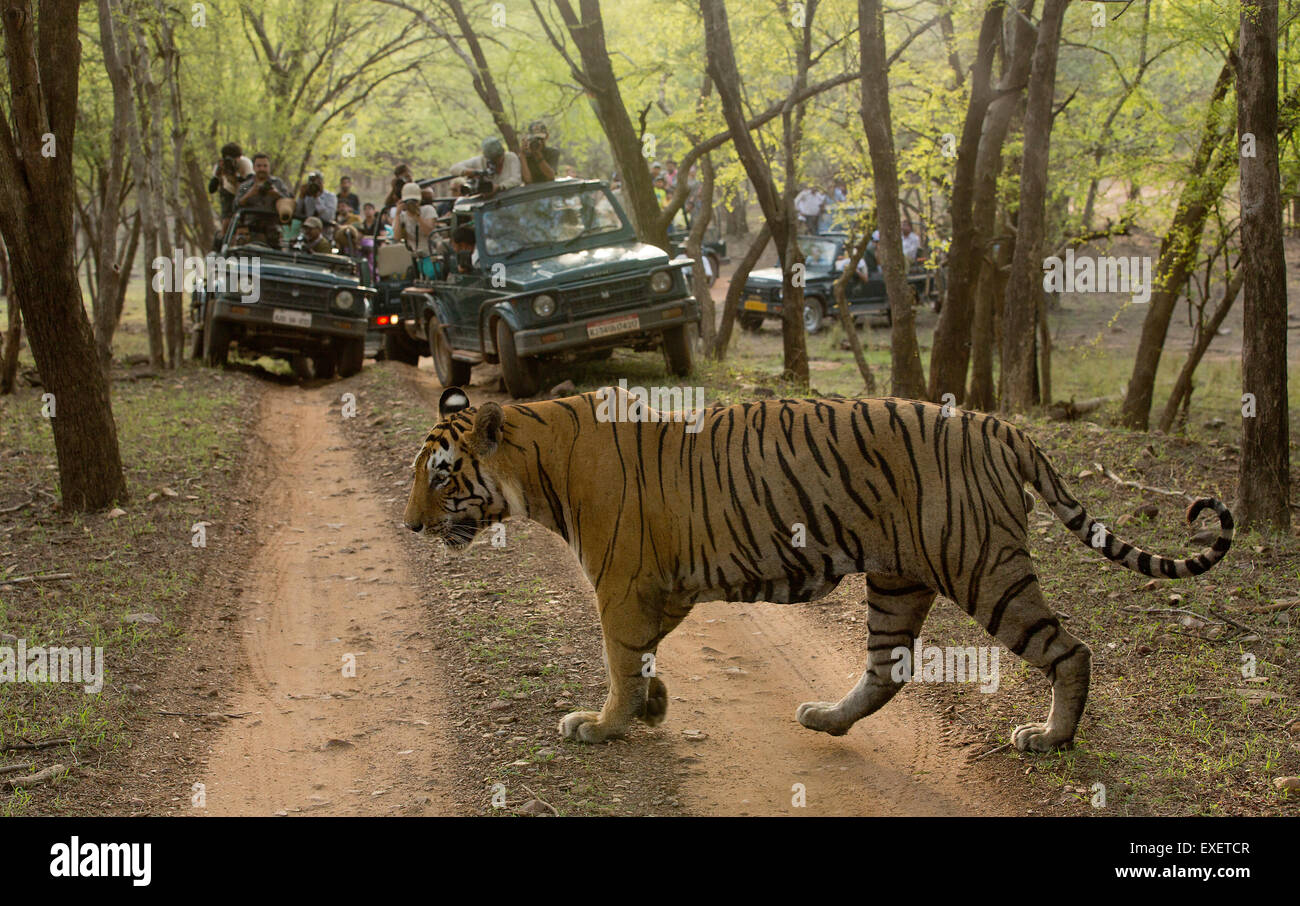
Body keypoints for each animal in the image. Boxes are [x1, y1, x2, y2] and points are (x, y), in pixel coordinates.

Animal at [403, 387, 1227, 748]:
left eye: (442, 476)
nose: (409, 526)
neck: (535, 462)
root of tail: (1001, 426)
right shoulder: (656, 588)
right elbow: (641, 657)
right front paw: (652, 706)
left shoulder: (623, 585)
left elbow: (619, 658)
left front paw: (603, 723)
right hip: (899, 580)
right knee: (888, 670)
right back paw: (827, 718)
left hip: (984, 568)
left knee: (1069, 649)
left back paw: (1051, 737)